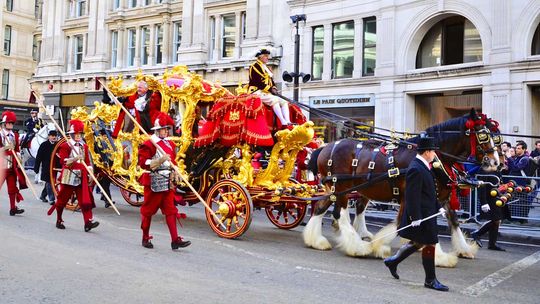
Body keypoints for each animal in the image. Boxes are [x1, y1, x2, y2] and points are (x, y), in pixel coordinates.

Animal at [306, 109, 500, 266]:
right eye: (483, 135)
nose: (496, 162)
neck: (433, 158)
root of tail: (326, 147)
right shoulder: (410, 195)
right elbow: (403, 223)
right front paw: (380, 245)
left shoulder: (441, 196)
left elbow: (453, 221)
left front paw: (463, 249)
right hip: (341, 188)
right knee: (341, 213)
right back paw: (357, 247)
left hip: (334, 189)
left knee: (321, 207)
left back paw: (316, 240)